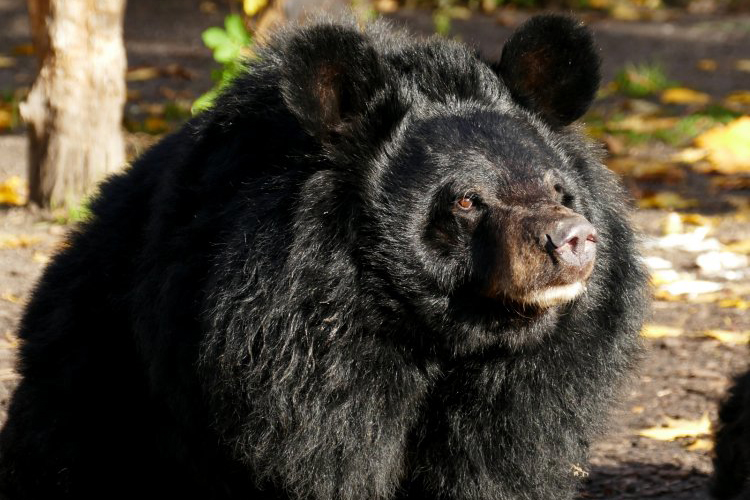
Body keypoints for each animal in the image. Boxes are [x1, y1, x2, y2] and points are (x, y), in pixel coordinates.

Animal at [0, 14, 649, 500]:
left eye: (559, 192)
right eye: (466, 200)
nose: (572, 240)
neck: (438, 330)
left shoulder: (535, 380)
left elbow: (500, 460)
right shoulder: (292, 352)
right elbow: (321, 458)